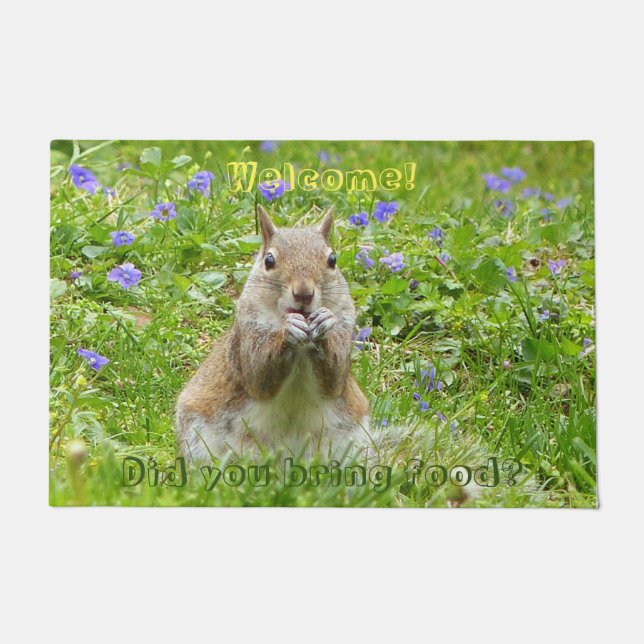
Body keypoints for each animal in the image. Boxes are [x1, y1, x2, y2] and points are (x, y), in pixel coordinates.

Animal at [176, 205, 370, 462]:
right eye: (269, 260)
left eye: (332, 259)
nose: (303, 293)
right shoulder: (247, 331)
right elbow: (259, 375)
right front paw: (288, 331)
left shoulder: (345, 325)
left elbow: (334, 379)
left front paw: (324, 321)